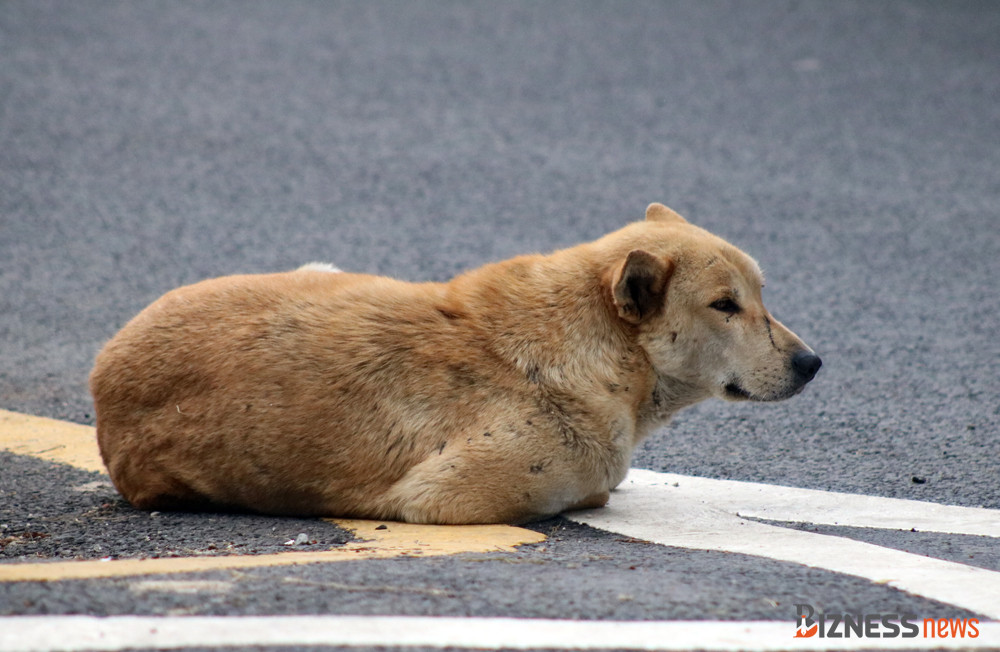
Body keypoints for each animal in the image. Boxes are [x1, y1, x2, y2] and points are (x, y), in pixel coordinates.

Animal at [90, 204, 820, 524]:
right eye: (725, 305)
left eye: (761, 295)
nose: (812, 362)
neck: (594, 347)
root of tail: (102, 374)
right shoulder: (452, 493)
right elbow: (588, 487)